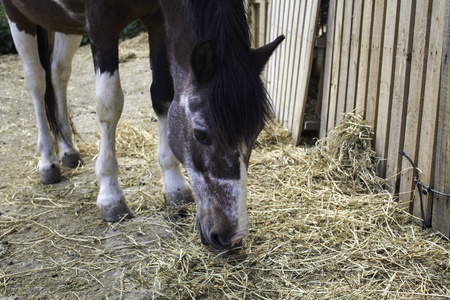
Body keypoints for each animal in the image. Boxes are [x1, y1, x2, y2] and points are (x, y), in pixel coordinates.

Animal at [1, 0, 284, 251]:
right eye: (201, 135)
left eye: (256, 133)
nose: (231, 237)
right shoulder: (101, 20)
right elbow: (109, 103)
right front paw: (110, 194)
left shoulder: (158, 19)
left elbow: (163, 94)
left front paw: (174, 184)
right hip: (18, 16)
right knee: (37, 80)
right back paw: (48, 160)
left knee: (59, 72)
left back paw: (68, 149)